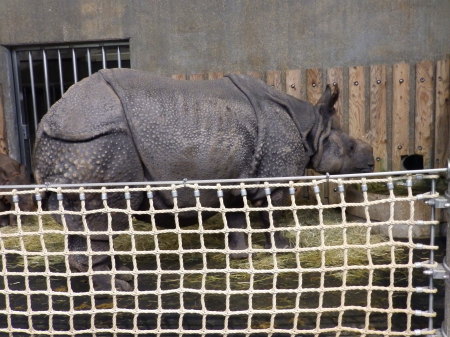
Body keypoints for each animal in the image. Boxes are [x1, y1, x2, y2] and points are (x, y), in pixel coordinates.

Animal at [33, 68, 374, 288]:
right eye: (351, 148)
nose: (372, 162)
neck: (312, 129)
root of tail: (47, 122)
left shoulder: (237, 176)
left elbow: (236, 217)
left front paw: (241, 256)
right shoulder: (274, 177)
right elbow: (273, 215)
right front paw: (284, 249)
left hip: (78, 143)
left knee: (82, 221)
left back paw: (114, 278)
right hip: (98, 142)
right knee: (105, 214)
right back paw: (118, 287)